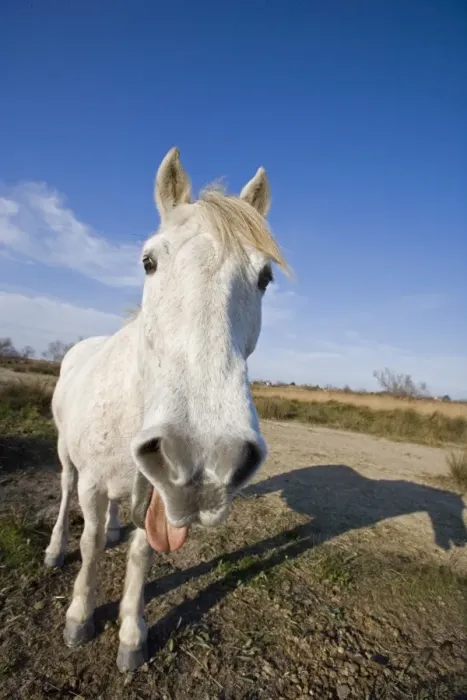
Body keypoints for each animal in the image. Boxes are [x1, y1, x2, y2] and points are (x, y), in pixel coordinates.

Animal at [44, 147, 289, 672]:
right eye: (148, 262)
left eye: (265, 277)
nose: (205, 459)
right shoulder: (93, 484)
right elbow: (90, 545)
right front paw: (79, 617)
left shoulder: (157, 491)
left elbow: (141, 556)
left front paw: (131, 635)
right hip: (66, 456)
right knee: (65, 494)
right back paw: (54, 550)